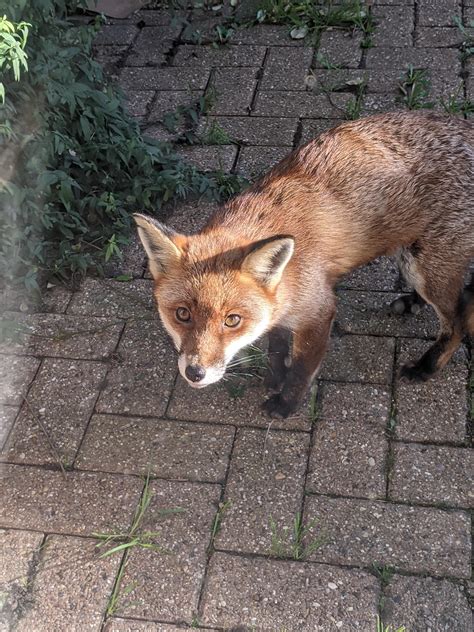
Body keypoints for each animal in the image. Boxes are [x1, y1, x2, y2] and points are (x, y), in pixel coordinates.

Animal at [134, 112, 474, 420]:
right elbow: (276, 348)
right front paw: (275, 378)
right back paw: (412, 302)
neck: (289, 272)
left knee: (459, 318)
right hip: (412, 257)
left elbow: (300, 369)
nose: (195, 373)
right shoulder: (280, 307)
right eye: (182, 314)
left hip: (425, 267)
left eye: (232, 320)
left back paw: (426, 367)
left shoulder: (319, 311)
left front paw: (286, 404)